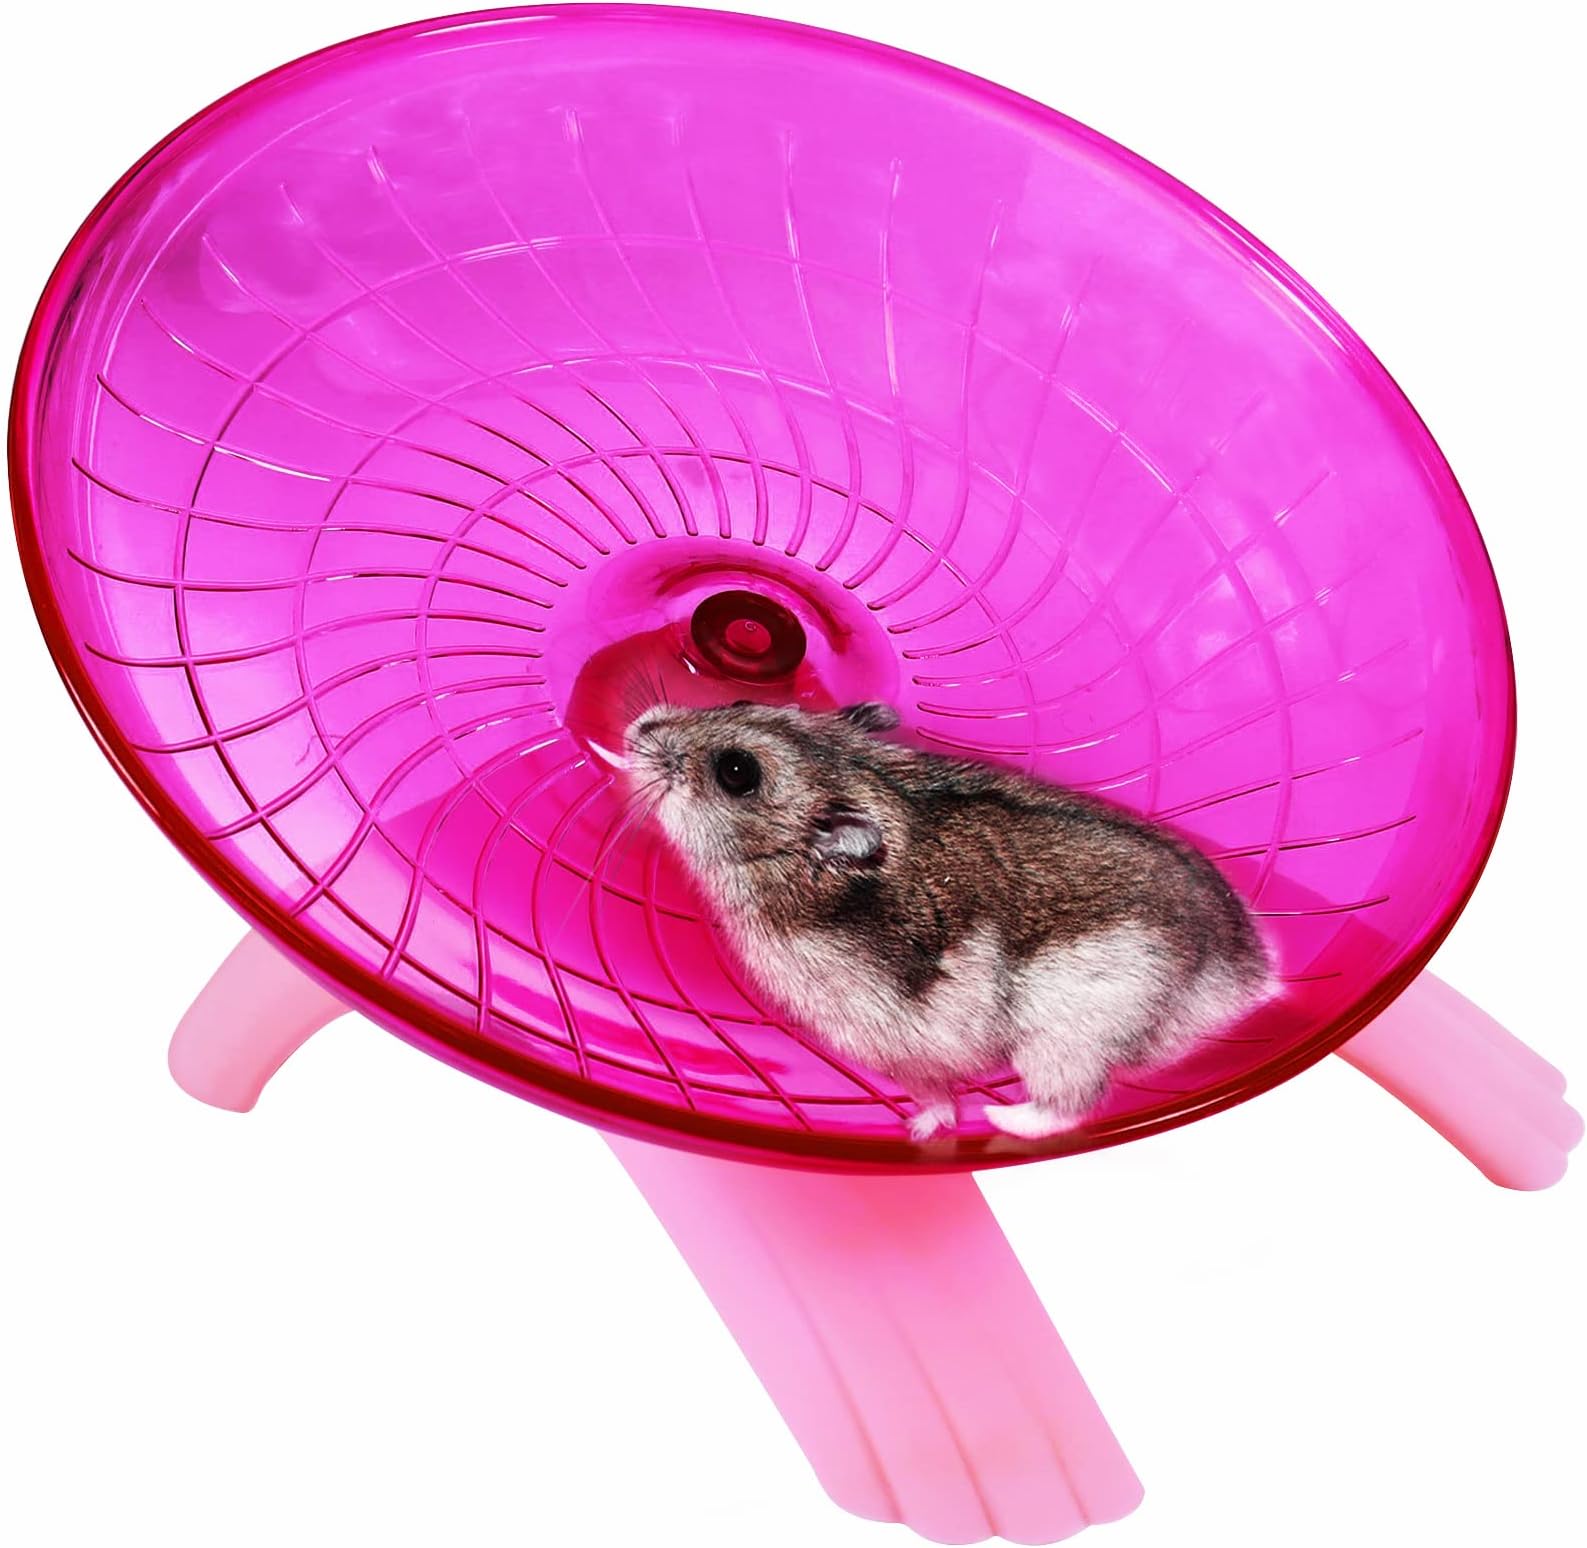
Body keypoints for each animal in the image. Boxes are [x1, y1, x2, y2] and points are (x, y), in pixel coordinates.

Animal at [624, 700, 1277, 1142]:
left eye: (737, 772)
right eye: (737, 701)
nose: (635, 729)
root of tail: (1249, 977)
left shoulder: (891, 1043)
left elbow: (933, 1095)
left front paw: (919, 1129)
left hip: (1064, 1042)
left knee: (1071, 1105)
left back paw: (999, 1116)